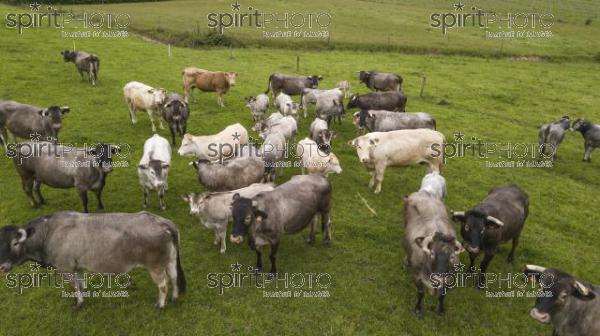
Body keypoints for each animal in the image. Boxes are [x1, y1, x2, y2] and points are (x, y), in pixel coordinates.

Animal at [0, 211, 185, 308]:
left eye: (16, 243)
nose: (2, 266)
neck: (49, 232)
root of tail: (162, 222)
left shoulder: (65, 268)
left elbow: (75, 286)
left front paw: (78, 303)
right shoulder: (77, 266)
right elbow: (81, 284)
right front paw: (85, 295)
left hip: (156, 266)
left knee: (163, 285)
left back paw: (160, 305)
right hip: (170, 260)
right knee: (174, 277)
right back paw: (175, 298)